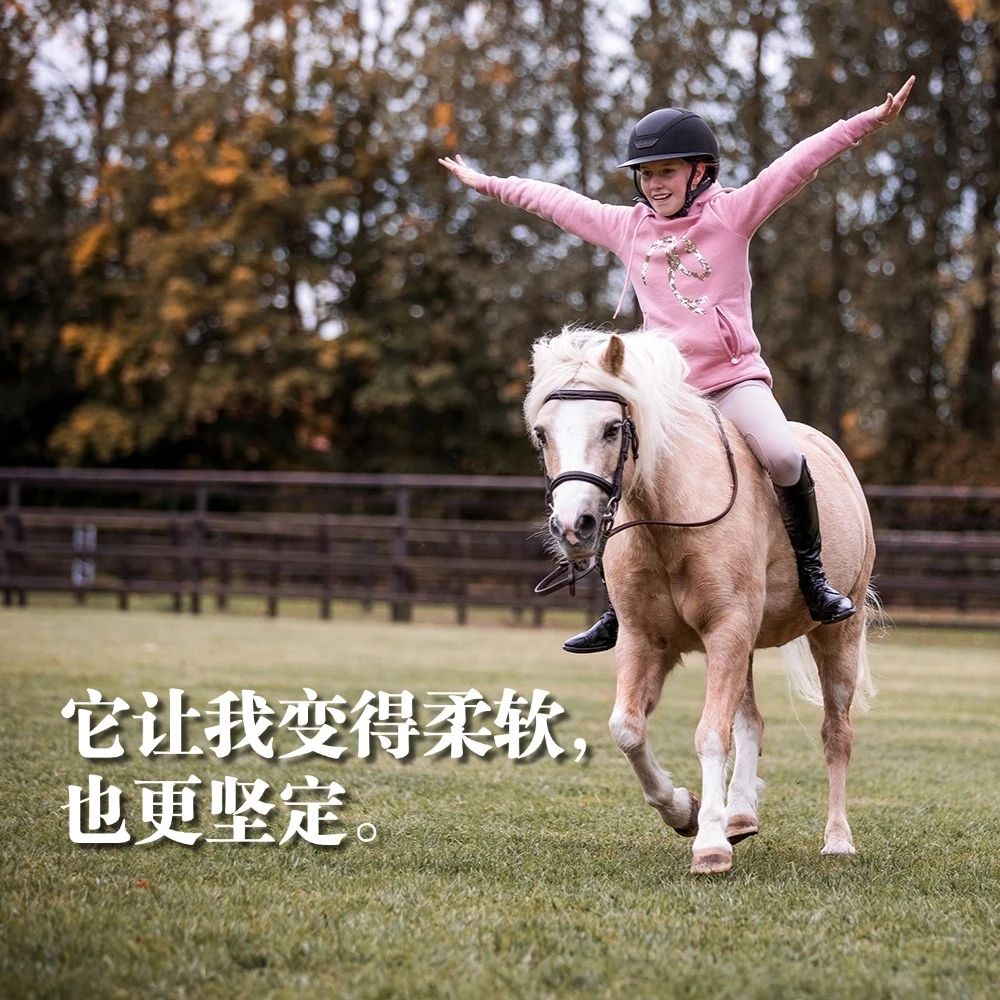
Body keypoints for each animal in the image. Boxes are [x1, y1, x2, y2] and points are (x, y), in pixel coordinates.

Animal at [524, 326, 877, 875]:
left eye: (611, 428)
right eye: (542, 433)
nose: (573, 527)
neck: (668, 516)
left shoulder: (726, 630)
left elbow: (711, 734)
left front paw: (708, 844)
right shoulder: (647, 639)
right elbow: (627, 728)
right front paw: (683, 811)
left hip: (837, 634)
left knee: (835, 734)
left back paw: (836, 839)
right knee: (751, 722)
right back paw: (740, 815)